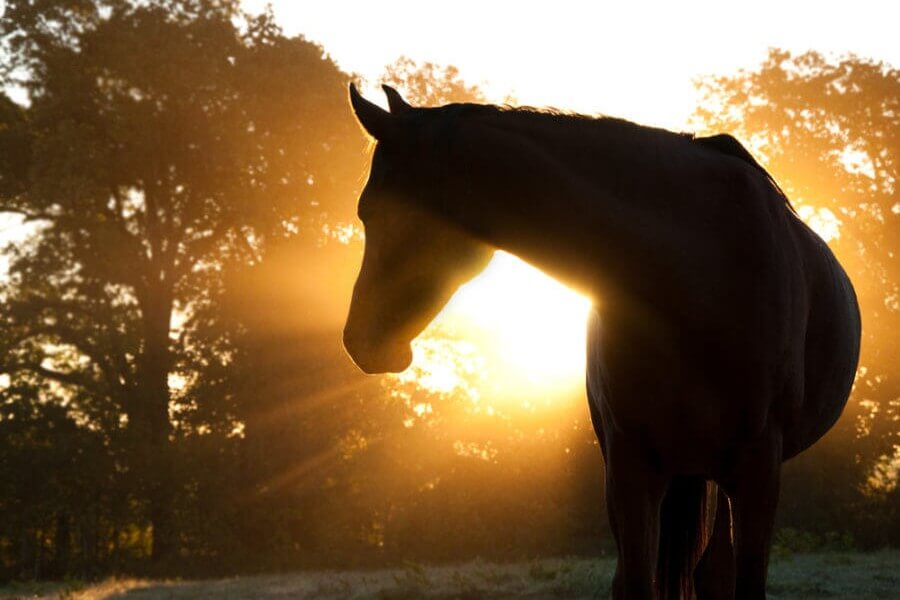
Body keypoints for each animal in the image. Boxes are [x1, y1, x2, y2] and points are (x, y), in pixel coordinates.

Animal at [342, 84, 861, 599]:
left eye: (372, 211)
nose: (358, 340)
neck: (701, 272)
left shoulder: (758, 470)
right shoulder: (629, 465)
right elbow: (634, 583)